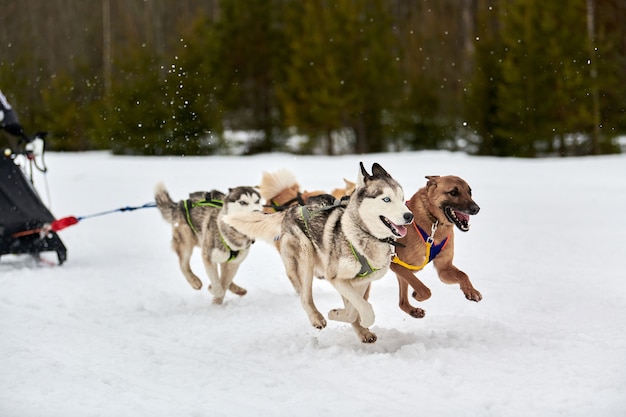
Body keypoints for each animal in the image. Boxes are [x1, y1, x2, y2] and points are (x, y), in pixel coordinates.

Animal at [222, 162, 412, 342]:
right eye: (386, 199)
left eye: (402, 198)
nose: (409, 216)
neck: (364, 234)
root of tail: (291, 209)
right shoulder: (335, 277)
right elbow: (365, 308)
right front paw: (352, 317)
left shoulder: (361, 281)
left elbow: (354, 309)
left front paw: (341, 315)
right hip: (306, 258)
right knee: (304, 296)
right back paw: (316, 318)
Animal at [388, 174, 480, 316]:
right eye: (453, 192)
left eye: (469, 192)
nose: (476, 209)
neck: (434, 222)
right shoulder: (397, 265)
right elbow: (425, 289)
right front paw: (418, 295)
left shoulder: (443, 269)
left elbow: (463, 274)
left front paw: (471, 291)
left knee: (402, 303)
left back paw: (412, 310)